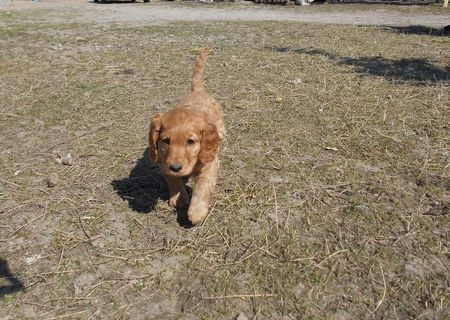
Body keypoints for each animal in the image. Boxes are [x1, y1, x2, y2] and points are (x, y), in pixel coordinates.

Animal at [149, 49, 225, 225]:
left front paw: (196, 211)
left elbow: (202, 186)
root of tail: (197, 91)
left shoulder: (210, 164)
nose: (176, 168)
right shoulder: (163, 162)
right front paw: (179, 199)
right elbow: (172, 179)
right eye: (165, 141)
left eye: (191, 142)